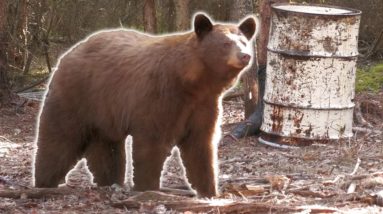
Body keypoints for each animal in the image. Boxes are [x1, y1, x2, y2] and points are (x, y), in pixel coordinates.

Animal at [32, 12, 255, 197]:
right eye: (225, 43)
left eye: (244, 41)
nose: (245, 55)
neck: (192, 82)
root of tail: (67, 55)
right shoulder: (160, 96)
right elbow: (152, 143)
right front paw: (148, 188)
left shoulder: (204, 106)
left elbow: (200, 145)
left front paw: (209, 191)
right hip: (77, 96)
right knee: (59, 137)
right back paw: (45, 182)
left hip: (104, 111)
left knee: (107, 149)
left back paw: (110, 181)